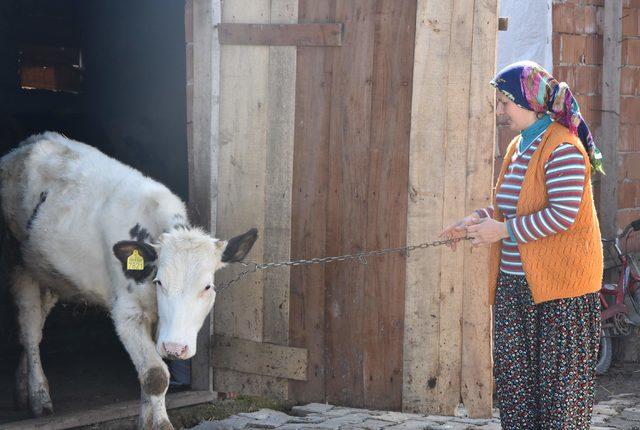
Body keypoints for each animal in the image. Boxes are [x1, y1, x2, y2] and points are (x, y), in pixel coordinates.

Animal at [2, 133, 258, 428]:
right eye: (160, 282)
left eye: (207, 286)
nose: (175, 347)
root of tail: (31, 143)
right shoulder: (127, 314)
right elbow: (156, 375)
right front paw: (161, 423)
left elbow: (151, 376)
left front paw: (146, 420)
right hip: (20, 264)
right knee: (30, 330)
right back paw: (38, 396)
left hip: (51, 273)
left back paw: (21, 389)